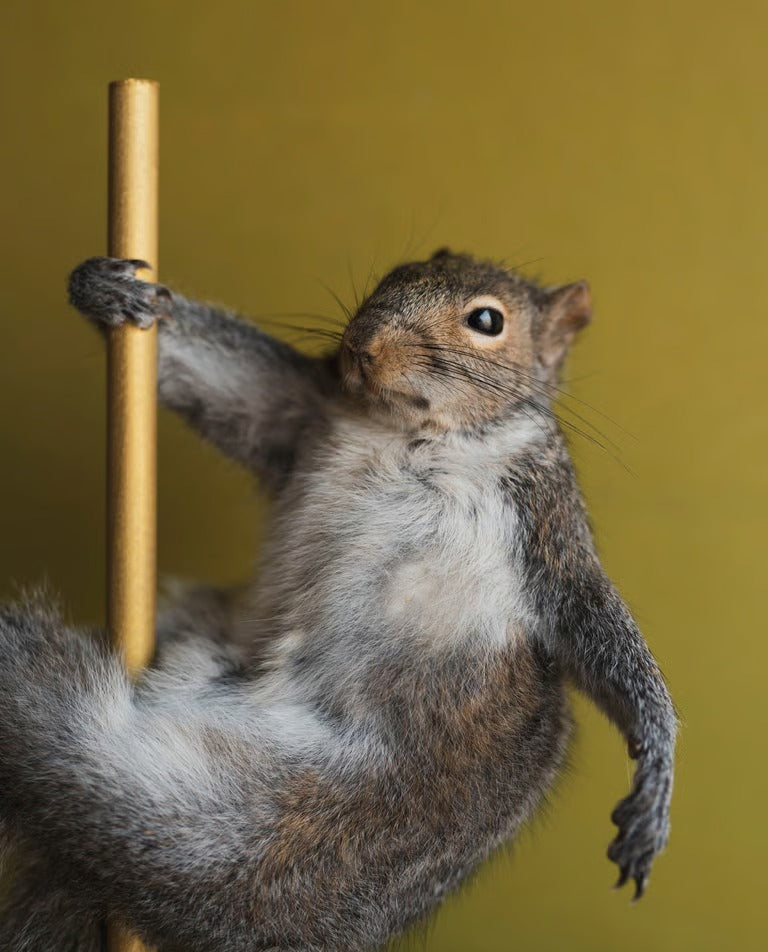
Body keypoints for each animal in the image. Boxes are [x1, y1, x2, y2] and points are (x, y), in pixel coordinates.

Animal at [0, 250, 676, 951]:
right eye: (392, 275)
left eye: (488, 321)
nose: (363, 344)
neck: (408, 429)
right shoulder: (298, 408)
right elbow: (222, 383)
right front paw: (104, 290)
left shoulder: (546, 521)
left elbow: (596, 627)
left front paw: (654, 778)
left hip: (258, 830)